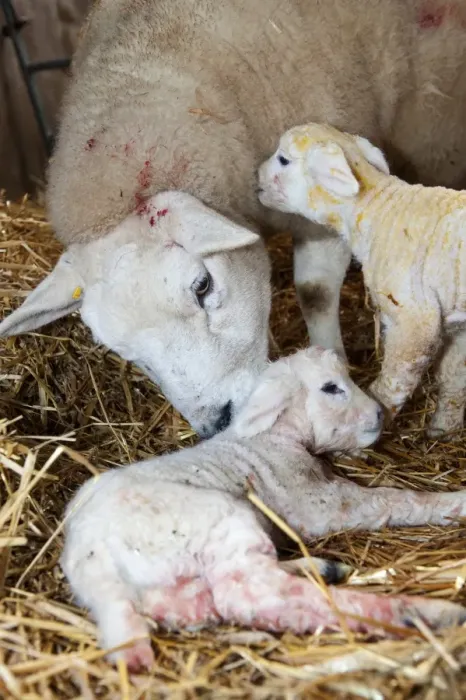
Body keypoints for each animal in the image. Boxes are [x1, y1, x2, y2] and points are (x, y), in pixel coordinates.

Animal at [62, 347, 466, 671]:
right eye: (331, 388)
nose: (379, 414)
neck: (275, 437)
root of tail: (91, 562)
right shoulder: (318, 501)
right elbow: (394, 498)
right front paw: (455, 501)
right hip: (216, 517)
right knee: (253, 595)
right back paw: (422, 614)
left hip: (174, 587)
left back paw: (323, 568)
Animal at [257, 123, 466, 437]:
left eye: (283, 159)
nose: (256, 174)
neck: (378, 210)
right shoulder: (457, 324)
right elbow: (455, 377)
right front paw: (442, 430)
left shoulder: (414, 319)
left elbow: (393, 384)